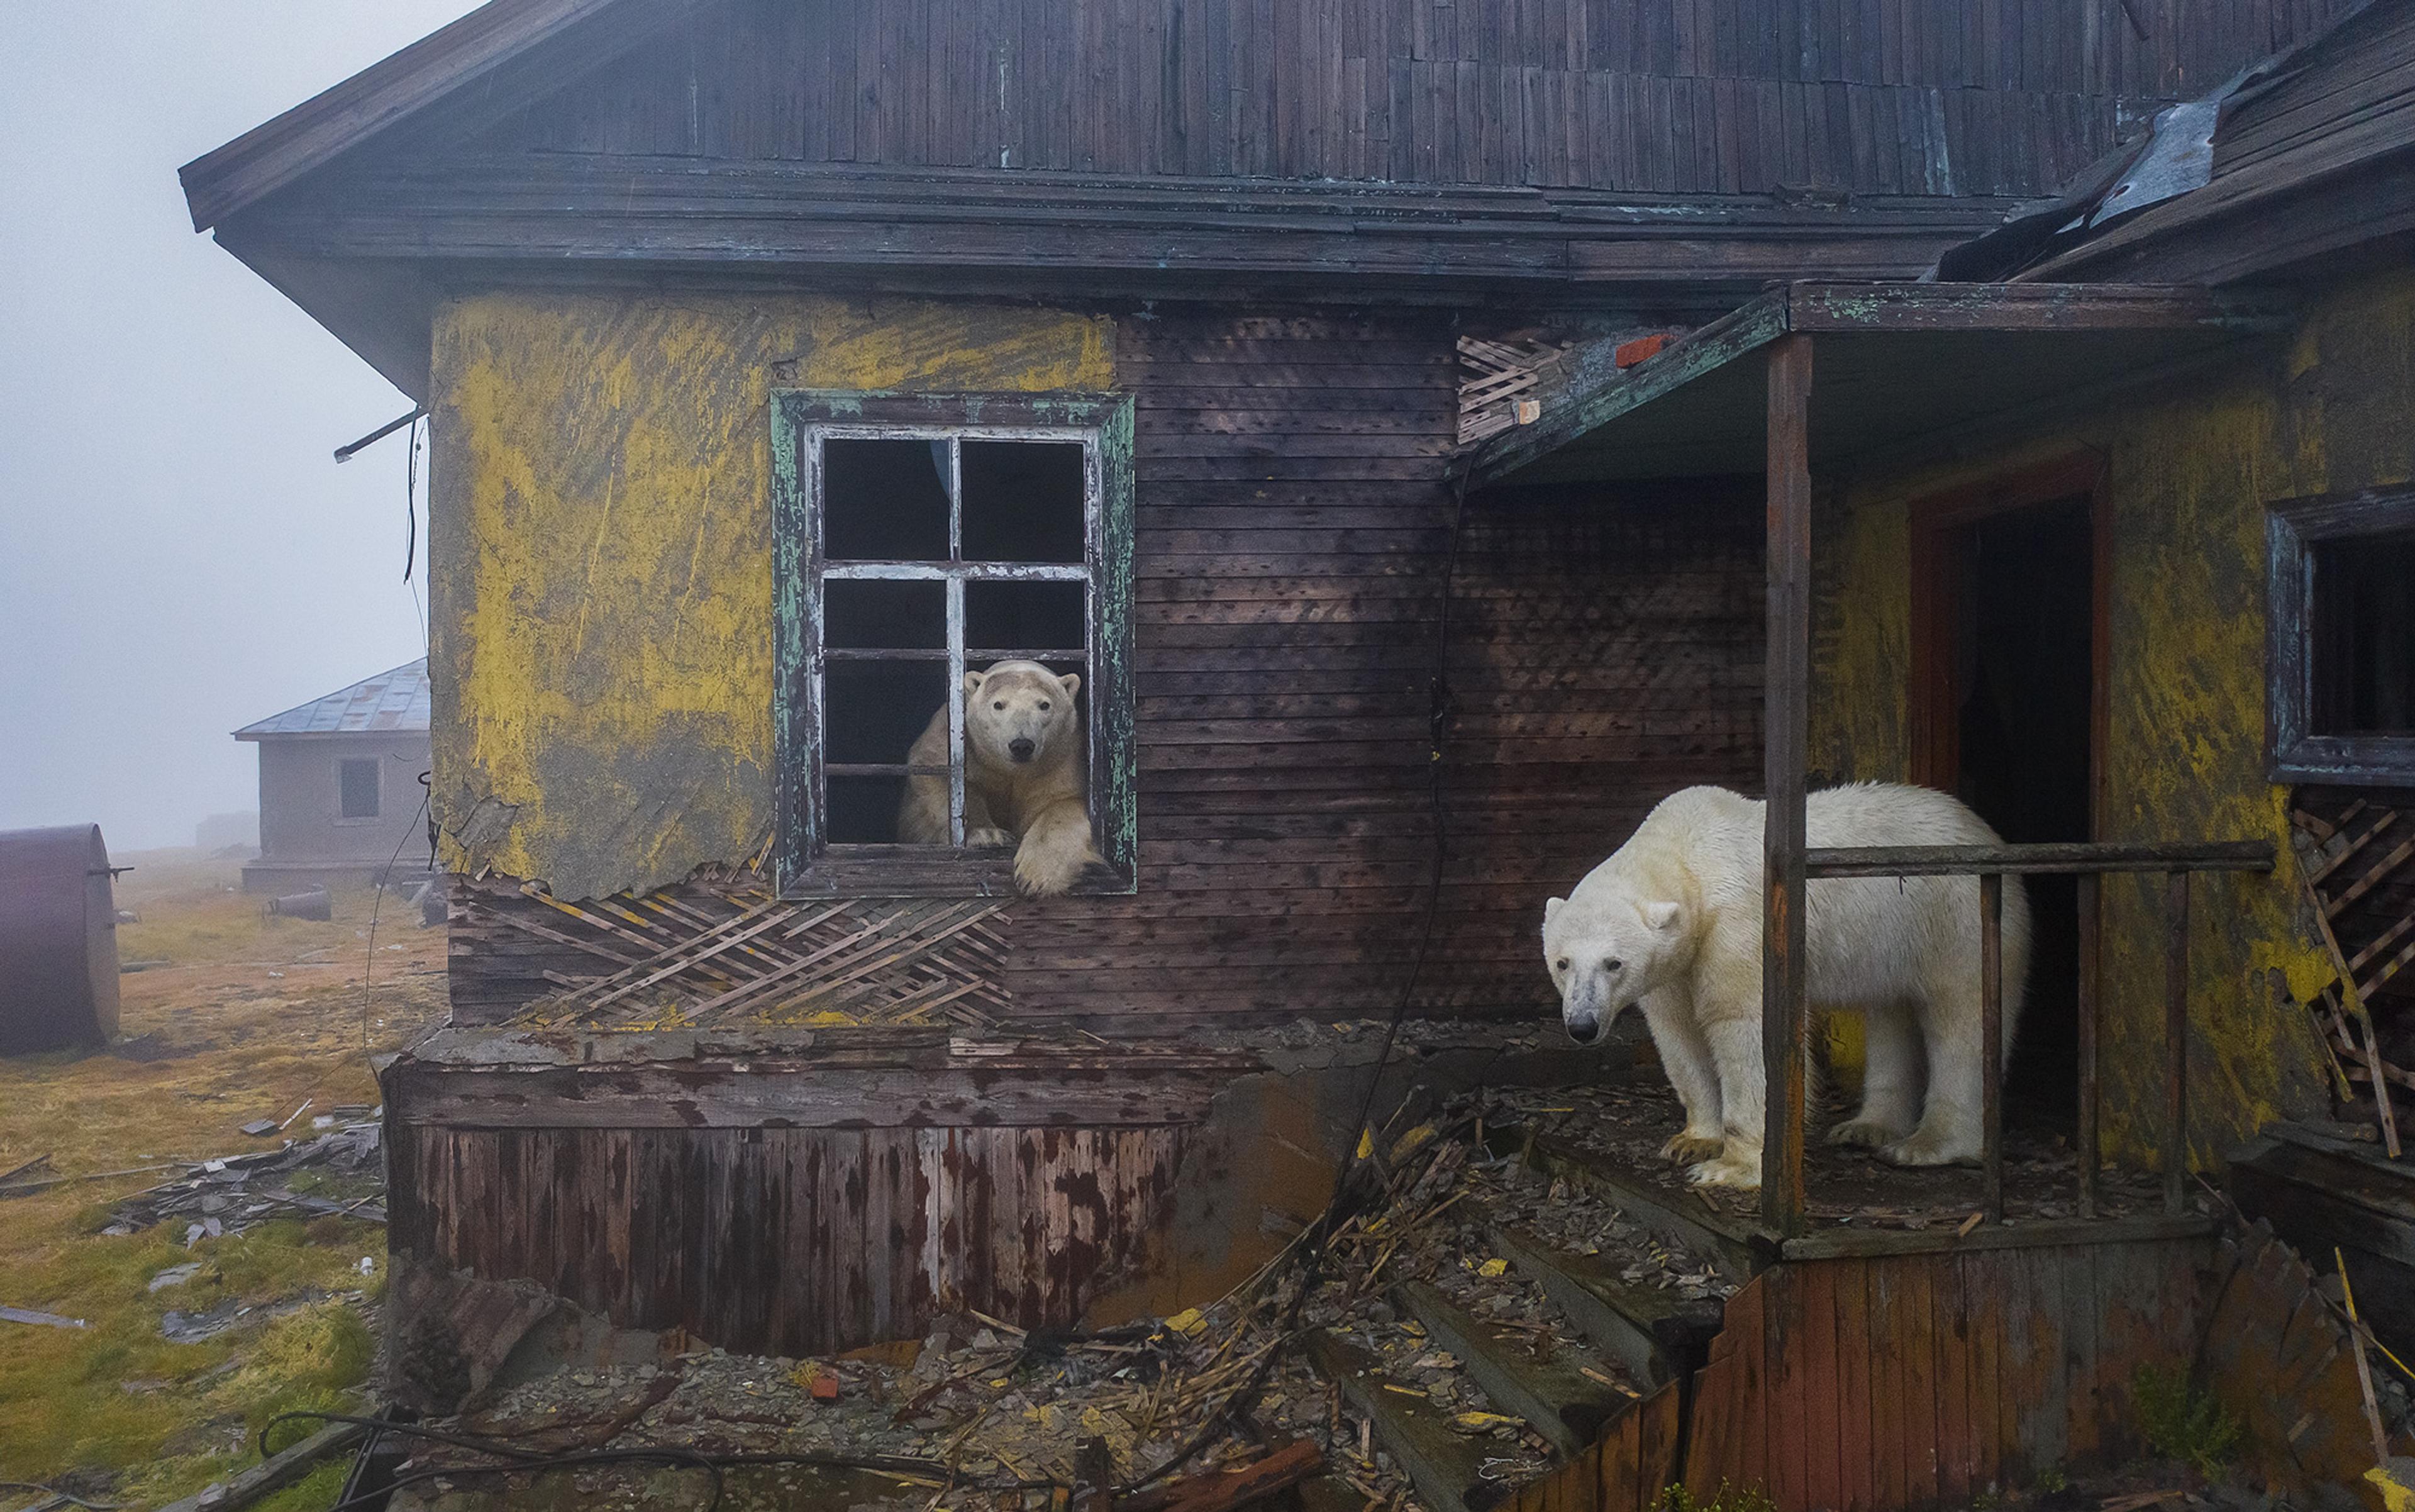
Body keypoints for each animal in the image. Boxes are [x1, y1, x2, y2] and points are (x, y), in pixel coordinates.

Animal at [896, 659, 1101, 897]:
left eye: (1044, 705)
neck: (1011, 769)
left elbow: (1064, 803)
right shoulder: (952, 739)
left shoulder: (1062, 757)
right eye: (998, 705)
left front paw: (1034, 877)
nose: (1021, 745)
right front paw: (989, 836)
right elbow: (939, 776)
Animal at [1540, 782, 2030, 1191]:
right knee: (1891, 1013)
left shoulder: (1739, 930)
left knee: (1962, 1020)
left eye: (1614, 963)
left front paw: (1730, 1168)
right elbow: (1679, 1033)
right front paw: (1691, 1141)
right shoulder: (1677, 962)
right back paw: (1866, 1127)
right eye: (1563, 962)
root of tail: (1985, 831)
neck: (1688, 855)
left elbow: (1746, 1029)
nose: (1582, 1026)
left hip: (1954, 919)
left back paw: (1927, 1145)